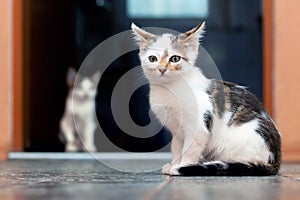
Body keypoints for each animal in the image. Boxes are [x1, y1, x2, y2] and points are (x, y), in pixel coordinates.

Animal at [132, 21, 282, 176]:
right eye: (152, 59)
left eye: (175, 58)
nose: (162, 69)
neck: (170, 89)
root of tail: (274, 161)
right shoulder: (177, 130)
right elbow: (176, 147)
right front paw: (174, 163)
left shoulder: (198, 127)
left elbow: (190, 149)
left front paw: (183, 165)